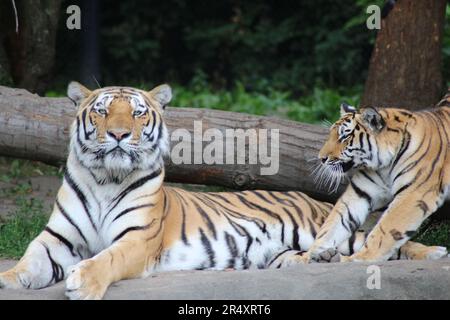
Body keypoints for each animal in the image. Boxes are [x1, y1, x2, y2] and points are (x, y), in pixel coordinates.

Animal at [302, 96, 450, 264]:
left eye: (344, 137)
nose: (321, 158)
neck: (384, 166)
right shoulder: (360, 192)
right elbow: (333, 224)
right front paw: (310, 254)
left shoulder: (414, 193)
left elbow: (385, 230)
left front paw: (360, 257)